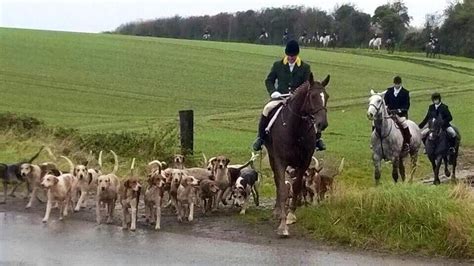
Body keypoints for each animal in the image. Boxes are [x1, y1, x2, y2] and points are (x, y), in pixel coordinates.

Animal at [262, 73, 330, 237]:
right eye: (312, 96)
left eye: (327, 96)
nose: (322, 124)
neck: (296, 129)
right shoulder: (281, 161)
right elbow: (283, 188)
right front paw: (282, 224)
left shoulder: (304, 162)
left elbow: (297, 187)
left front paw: (291, 216)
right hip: (272, 157)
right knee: (277, 181)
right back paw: (277, 210)